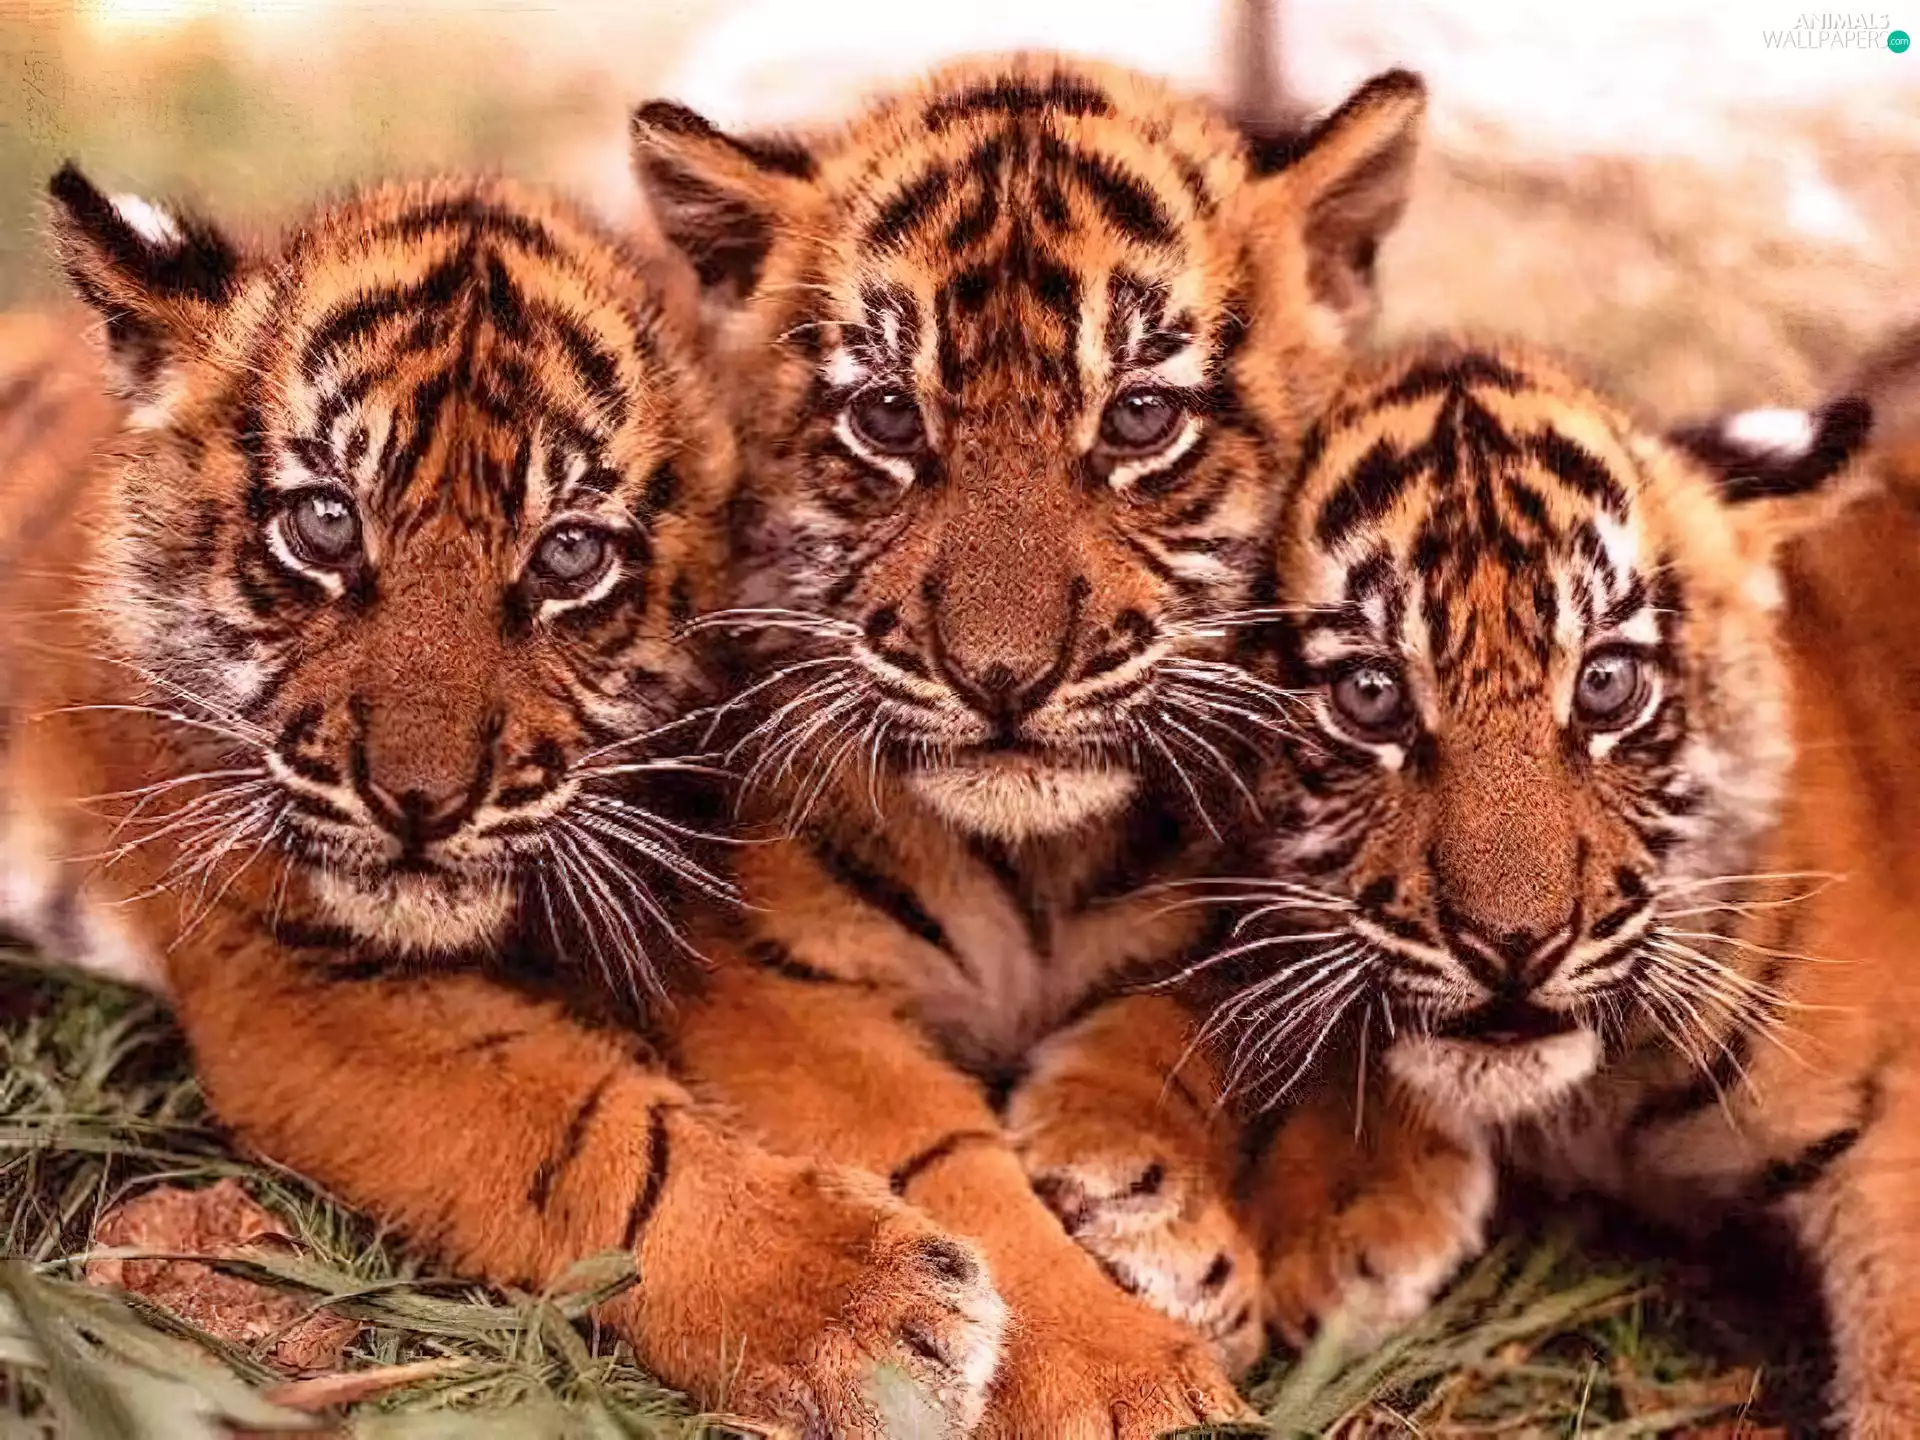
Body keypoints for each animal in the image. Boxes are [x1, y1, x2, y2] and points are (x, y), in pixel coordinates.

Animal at [0, 168, 1038, 1430]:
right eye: (324, 524)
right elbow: (591, 1138)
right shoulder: (293, 974)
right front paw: (871, 1313)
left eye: (569, 557)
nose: (418, 801)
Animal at [623, 51, 1426, 1436]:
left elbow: (1170, 1035)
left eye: (1142, 417)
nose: (1001, 675)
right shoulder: (770, 977)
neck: (1031, 864)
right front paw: (1119, 1379)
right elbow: (943, 1166)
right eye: (890, 419)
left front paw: (1145, 1191)